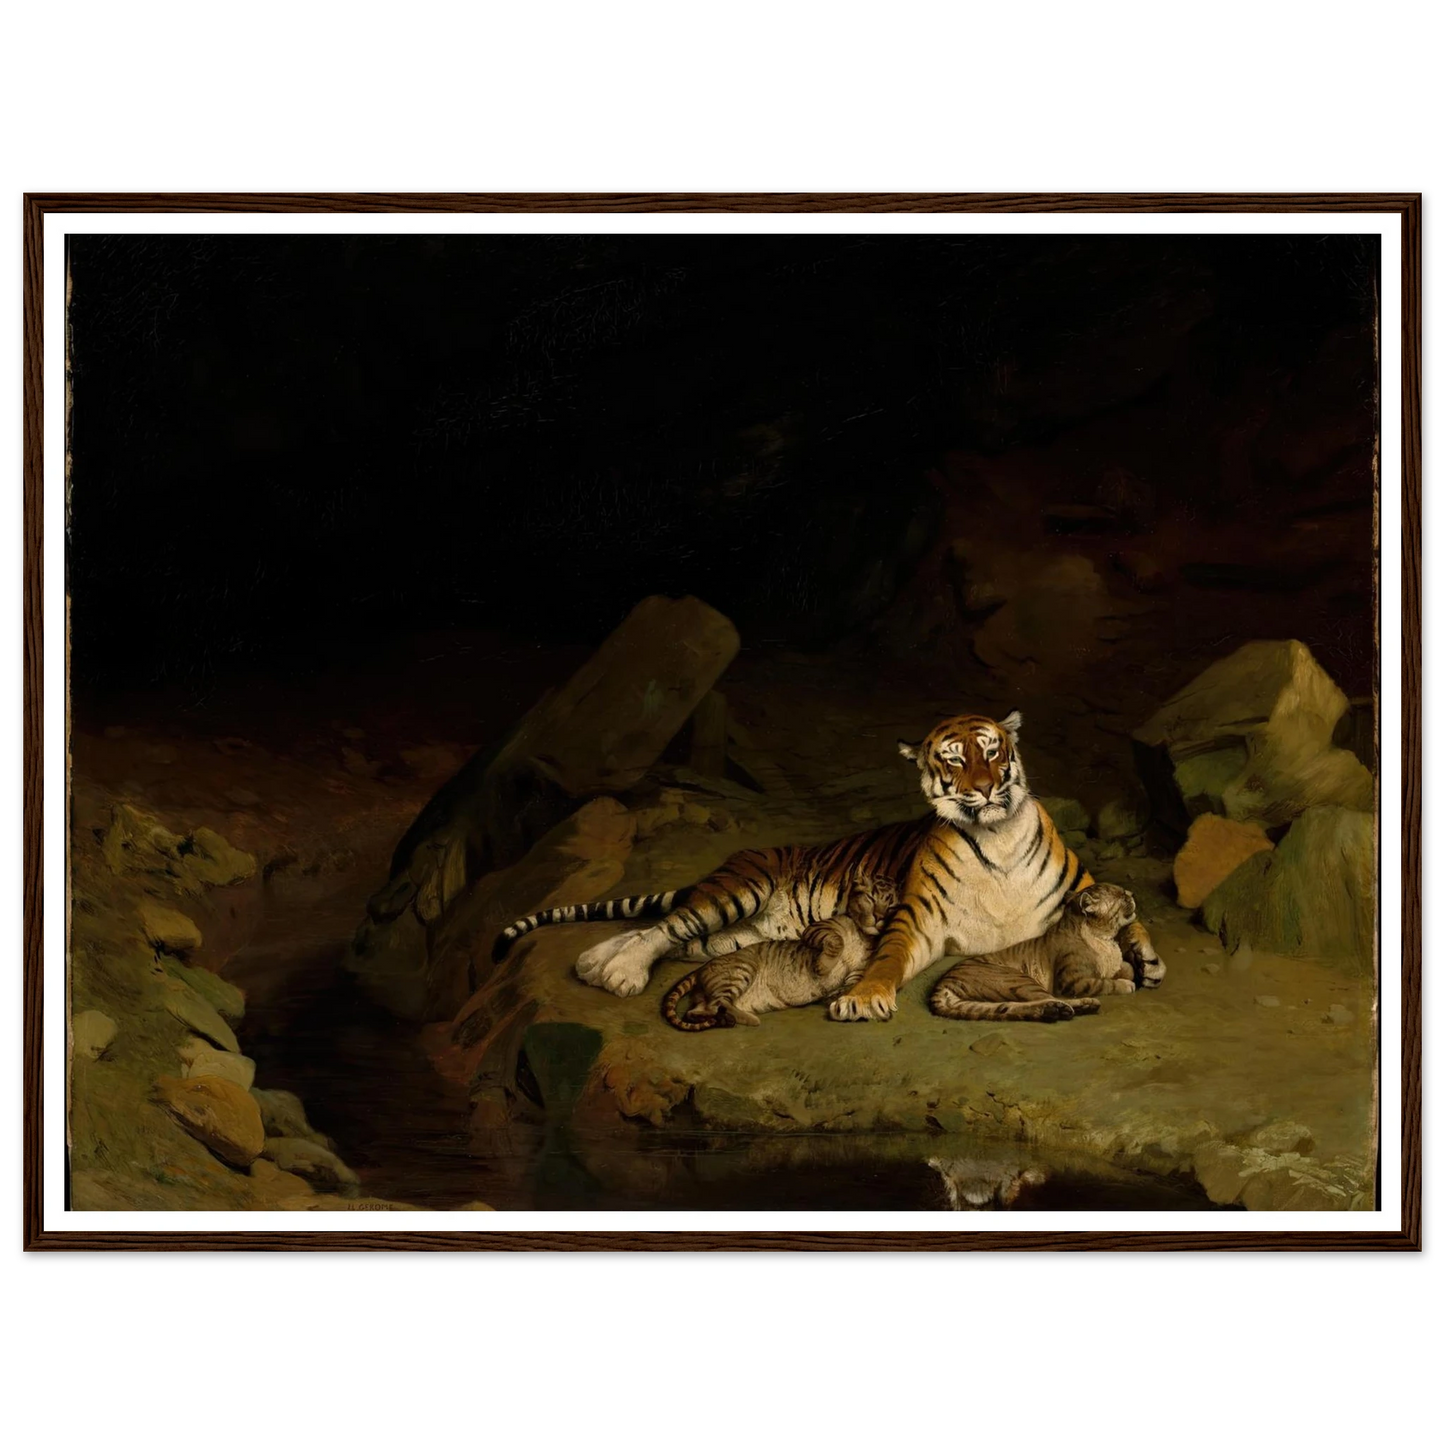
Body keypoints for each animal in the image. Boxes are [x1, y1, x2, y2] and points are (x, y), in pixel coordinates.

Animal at [929, 881, 1157, 1022]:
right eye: (1121, 895)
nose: (1132, 894)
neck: (1105, 938)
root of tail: (941, 984)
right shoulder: (1071, 981)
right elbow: (1103, 983)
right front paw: (1126, 983)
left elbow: (1124, 967)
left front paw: (1134, 970)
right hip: (1018, 979)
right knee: (1049, 998)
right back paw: (1081, 1006)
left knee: (1010, 1007)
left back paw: (1057, 1011)